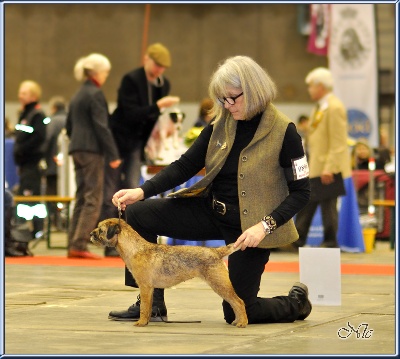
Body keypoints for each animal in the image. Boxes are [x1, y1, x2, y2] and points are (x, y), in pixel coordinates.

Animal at [90, 218, 247, 328]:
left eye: (100, 230)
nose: (91, 234)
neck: (135, 248)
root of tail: (216, 251)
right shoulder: (150, 289)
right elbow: (148, 307)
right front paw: (146, 321)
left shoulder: (144, 286)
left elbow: (143, 308)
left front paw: (141, 322)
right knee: (234, 302)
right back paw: (237, 321)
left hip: (219, 283)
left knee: (239, 302)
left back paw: (242, 322)